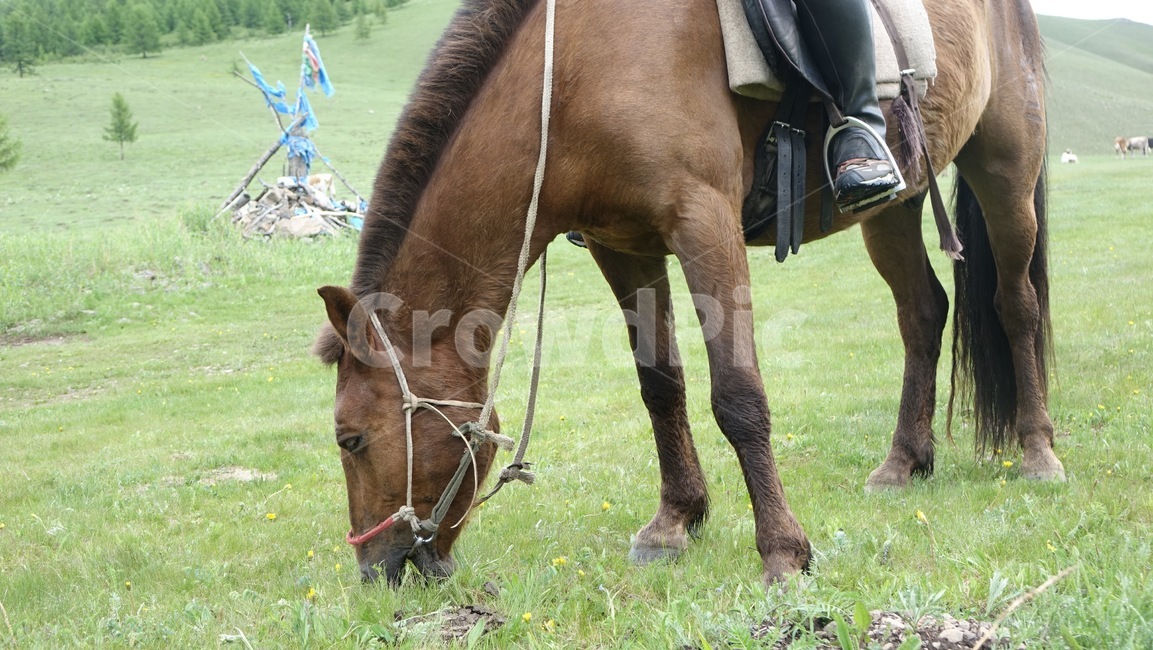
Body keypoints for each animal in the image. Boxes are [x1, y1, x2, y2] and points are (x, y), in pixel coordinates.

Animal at [314, 0, 1064, 586]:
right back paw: (904, 461)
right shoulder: (625, 245)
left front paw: (782, 550)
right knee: (922, 312)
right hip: (893, 205)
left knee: (1014, 305)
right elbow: (660, 383)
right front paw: (675, 520)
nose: (377, 571)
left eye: (351, 439)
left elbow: (736, 395)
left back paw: (1037, 452)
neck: (572, 73)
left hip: (1005, 167)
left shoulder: (703, 223)